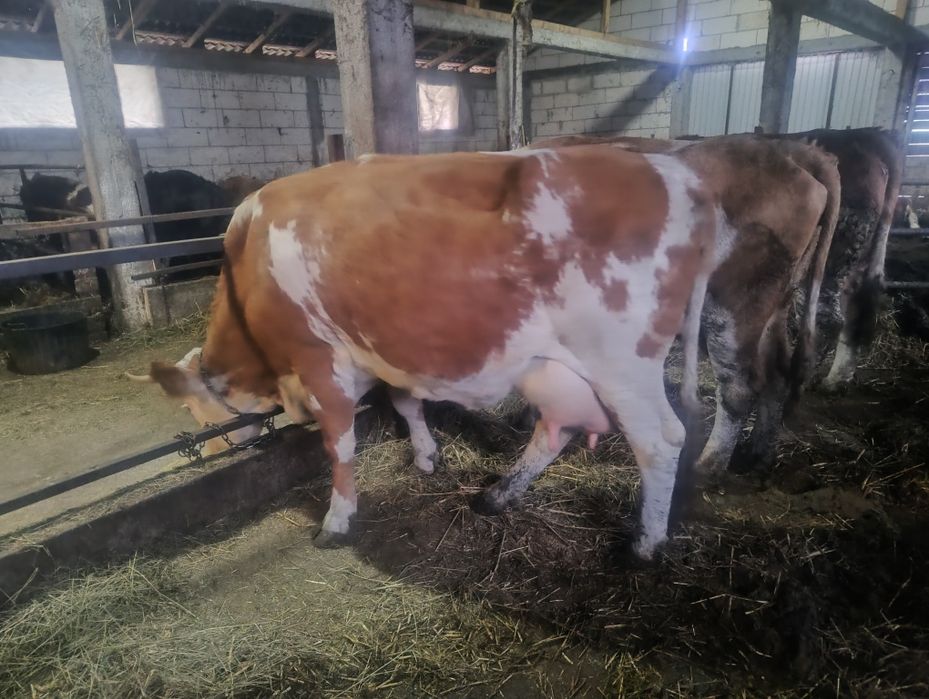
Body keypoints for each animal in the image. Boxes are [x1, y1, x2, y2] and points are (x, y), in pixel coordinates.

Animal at [132, 147, 715, 559]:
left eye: (195, 413)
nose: (209, 451)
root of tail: (677, 175)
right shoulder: (384, 349)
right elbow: (406, 402)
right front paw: (426, 457)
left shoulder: (318, 357)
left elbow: (339, 444)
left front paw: (337, 519)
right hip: (553, 367)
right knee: (556, 428)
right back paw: (498, 495)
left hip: (623, 364)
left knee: (661, 442)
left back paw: (645, 545)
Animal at [532, 134, 841, 474]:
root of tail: (793, 153)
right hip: (776, 306)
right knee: (778, 374)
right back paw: (757, 454)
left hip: (733, 308)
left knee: (738, 388)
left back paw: (707, 465)